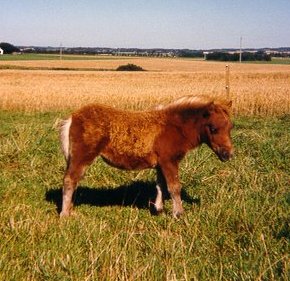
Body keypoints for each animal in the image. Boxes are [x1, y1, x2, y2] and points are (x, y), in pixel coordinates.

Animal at [59, 94, 233, 217]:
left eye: (230, 127)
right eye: (213, 128)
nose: (228, 154)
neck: (175, 127)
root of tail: (73, 116)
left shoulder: (161, 164)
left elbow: (161, 185)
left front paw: (159, 209)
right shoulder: (169, 161)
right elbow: (174, 187)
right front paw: (178, 213)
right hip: (82, 156)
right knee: (70, 180)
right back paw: (65, 214)